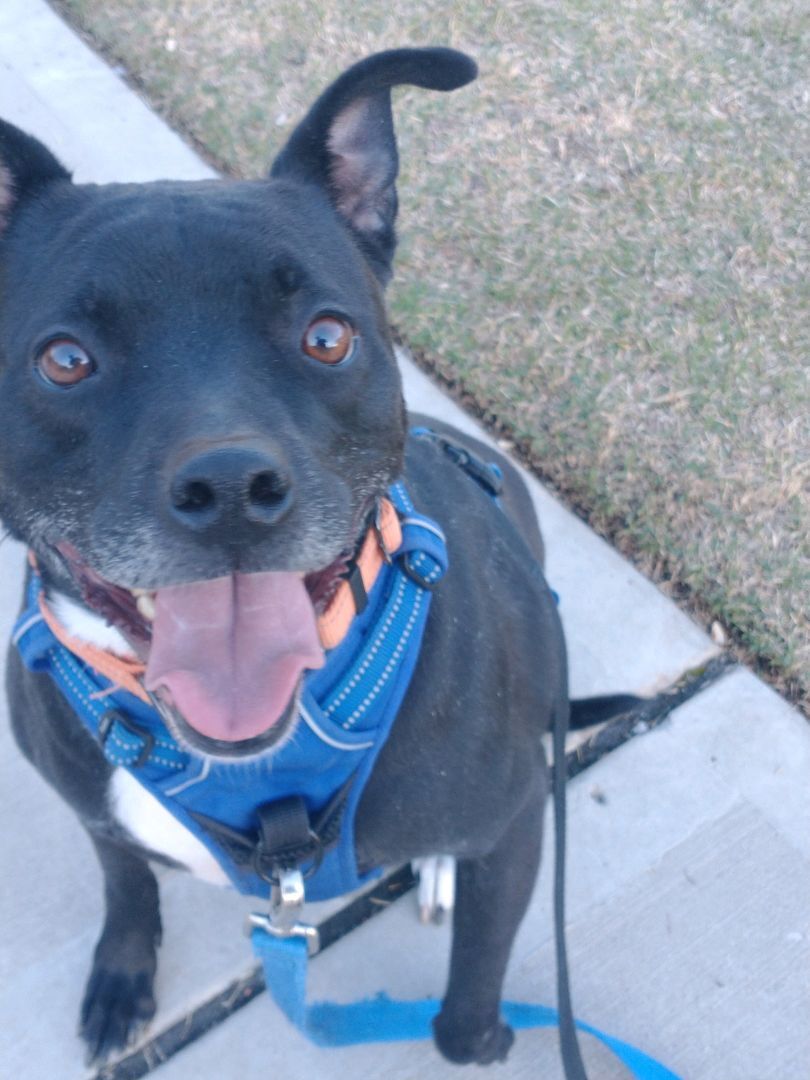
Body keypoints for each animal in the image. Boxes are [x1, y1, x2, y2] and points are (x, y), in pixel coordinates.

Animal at [3, 46, 591, 1067]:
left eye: (327, 335)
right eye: (64, 360)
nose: (232, 486)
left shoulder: (517, 825)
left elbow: (468, 992)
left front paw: (480, 1036)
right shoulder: (95, 810)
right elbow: (127, 882)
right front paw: (121, 978)